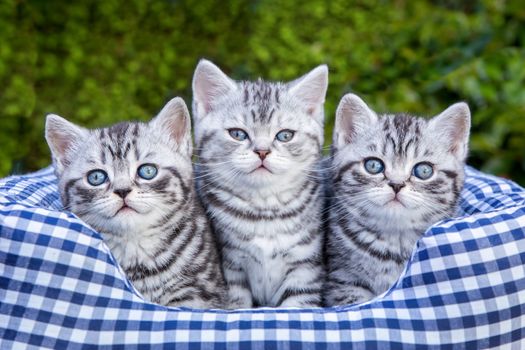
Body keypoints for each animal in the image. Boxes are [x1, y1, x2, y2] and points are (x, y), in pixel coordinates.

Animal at [190, 60, 330, 308]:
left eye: (285, 135)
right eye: (237, 134)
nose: (262, 151)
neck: (264, 211)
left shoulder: (305, 267)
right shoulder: (231, 267)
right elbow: (237, 304)